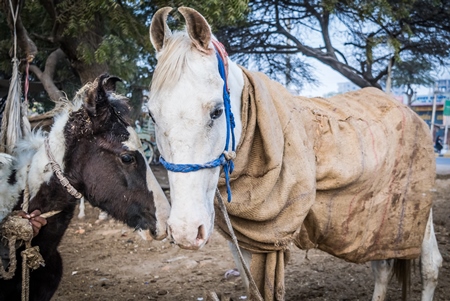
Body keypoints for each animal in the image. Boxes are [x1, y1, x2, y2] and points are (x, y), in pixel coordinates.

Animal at [149, 7, 442, 300]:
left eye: (217, 111)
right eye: (151, 115)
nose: (185, 231)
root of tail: (409, 111)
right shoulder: (243, 241)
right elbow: (251, 287)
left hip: (416, 210)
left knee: (430, 266)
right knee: (382, 268)